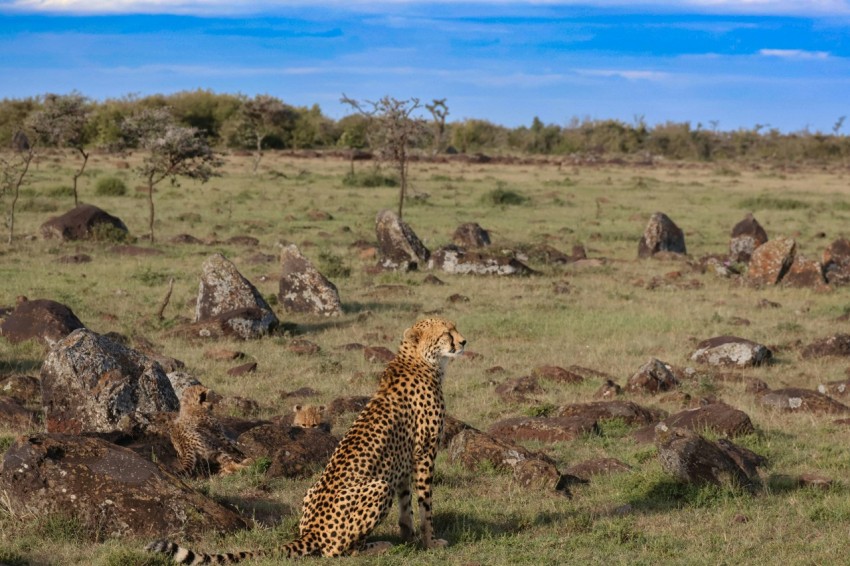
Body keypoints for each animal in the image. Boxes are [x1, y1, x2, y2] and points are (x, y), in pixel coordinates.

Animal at [146, 320, 464, 564]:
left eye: (454, 328)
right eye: (446, 332)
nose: (463, 341)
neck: (417, 360)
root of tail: (310, 531)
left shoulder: (404, 459)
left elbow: (406, 504)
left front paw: (409, 537)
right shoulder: (425, 453)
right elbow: (425, 504)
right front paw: (429, 542)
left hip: (316, 490)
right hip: (377, 487)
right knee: (334, 551)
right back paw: (377, 547)